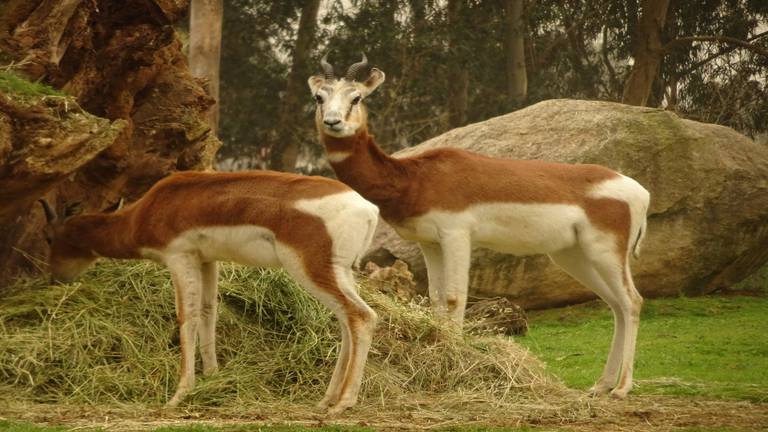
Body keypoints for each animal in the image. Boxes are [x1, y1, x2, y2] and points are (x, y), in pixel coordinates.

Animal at [39, 170, 380, 416]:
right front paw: (213, 379)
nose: (55, 277)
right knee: (347, 323)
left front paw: (178, 395)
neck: (150, 209)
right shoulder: (207, 260)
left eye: (51, 238)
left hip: (310, 269)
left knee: (362, 317)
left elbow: (186, 318)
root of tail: (368, 209)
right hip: (341, 273)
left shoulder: (180, 257)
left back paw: (343, 404)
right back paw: (326, 400)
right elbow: (208, 314)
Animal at [306, 54, 648, 398]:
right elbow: (436, 300)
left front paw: (457, 367)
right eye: (319, 97)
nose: (333, 122)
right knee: (616, 305)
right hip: (574, 256)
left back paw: (622, 388)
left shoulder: (456, 236)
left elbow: (454, 298)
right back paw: (601, 385)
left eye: (356, 97)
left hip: (604, 252)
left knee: (632, 302)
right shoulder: (430, 244)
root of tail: (640, 192)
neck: (414, 177)